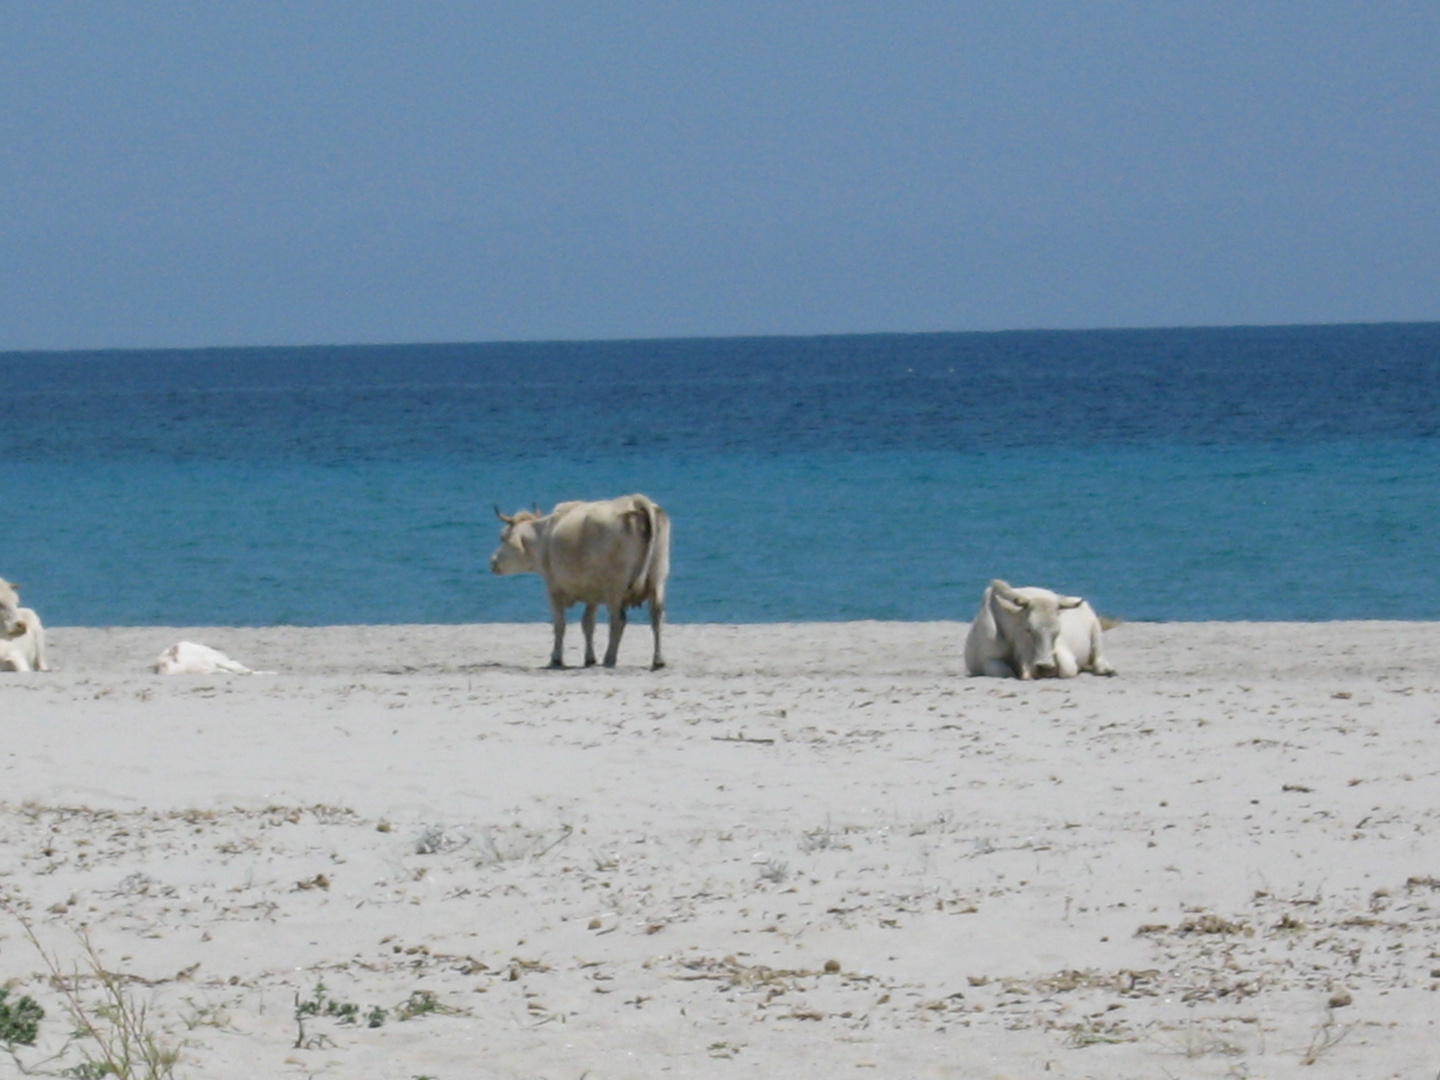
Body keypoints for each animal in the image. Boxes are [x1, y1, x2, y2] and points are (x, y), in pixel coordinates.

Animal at [492, 498, 671, 668]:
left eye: (502, 537)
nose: (493, 561)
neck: (545, 536)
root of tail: (634, 500)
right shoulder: (593, 591)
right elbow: (588, 623)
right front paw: (589, 658)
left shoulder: (553, 588)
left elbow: (560, 624)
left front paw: (556, 659)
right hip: (657, 580)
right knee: (657, 617)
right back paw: (658, 660)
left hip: (615, 587)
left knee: (618, 620)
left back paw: (609, 658)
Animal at [961, 578, 1117, 679]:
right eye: (1028, 629)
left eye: (1057, 632)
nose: (1045, 667)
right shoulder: (988, 660)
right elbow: (1005, 672)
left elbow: (1067, 669)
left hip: (1096, 629)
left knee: (1099, 657)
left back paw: (1106, 669)